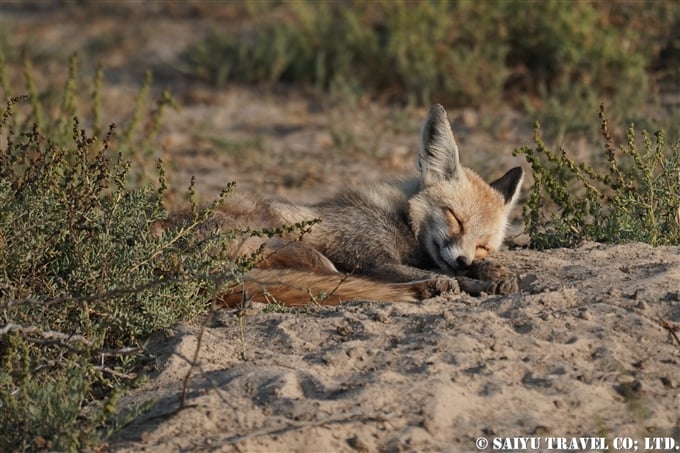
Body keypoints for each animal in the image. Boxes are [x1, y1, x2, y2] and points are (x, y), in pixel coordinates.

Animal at [186, 104, 524, 306]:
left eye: (482, 246)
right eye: (455, 218)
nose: (463, 259)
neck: (400, 220)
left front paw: (491, 272)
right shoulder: (370, 258)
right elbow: (445, 276)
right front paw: (473, 282)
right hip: (297, 248)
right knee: (339, 281)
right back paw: (429, 287)